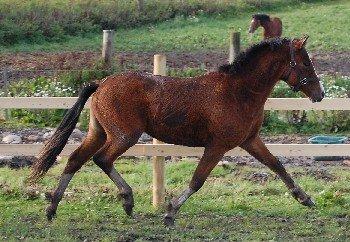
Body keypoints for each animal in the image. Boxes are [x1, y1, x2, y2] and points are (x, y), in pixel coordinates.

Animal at [28, 36, 324, 226]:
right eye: (305, 63)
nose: (319, 94)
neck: (239, 92)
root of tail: (101, 83)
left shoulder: (250, 140)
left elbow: (277, 165)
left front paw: (305, 198)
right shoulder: (217, 146)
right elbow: (197, 180)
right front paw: (170, 213)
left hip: (98, 132)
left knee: (75, 159)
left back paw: (52, 209)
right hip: (124, 136)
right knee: (102, 159)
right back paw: (127, 200)